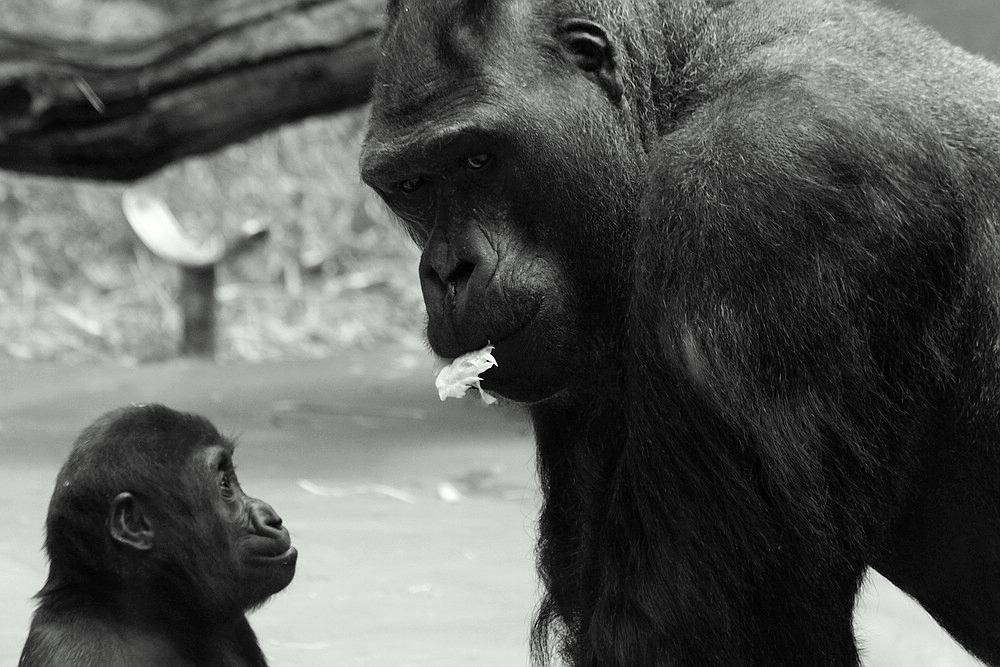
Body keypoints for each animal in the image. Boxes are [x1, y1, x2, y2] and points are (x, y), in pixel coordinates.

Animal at [364, 1, 1000, 667]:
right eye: (410, 186)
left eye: (477, 160)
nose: (445, 272)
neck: (684, 77)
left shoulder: (756, 184)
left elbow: (688, 632)